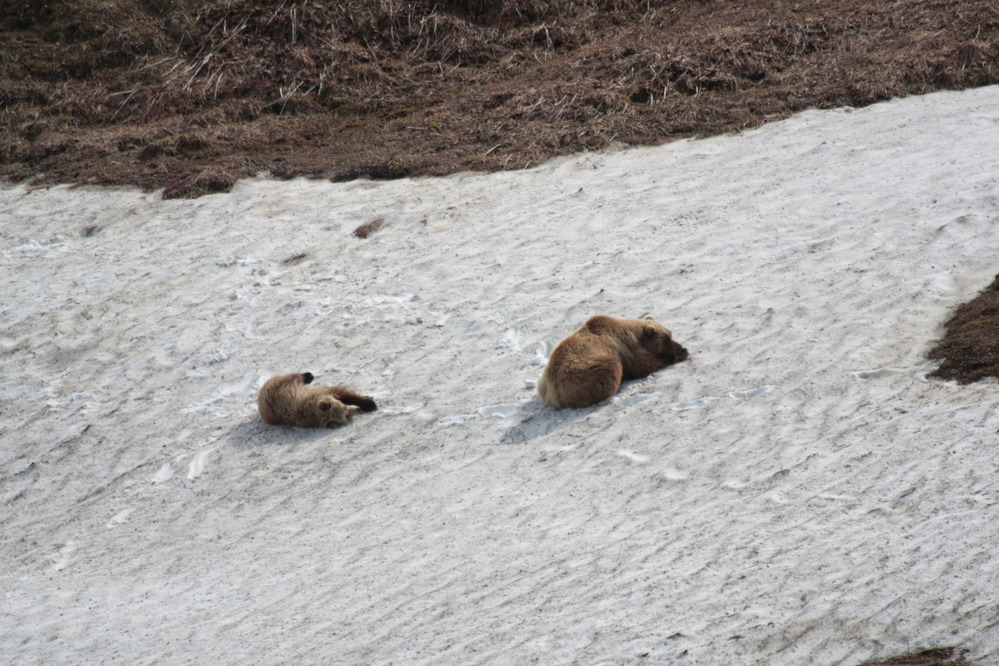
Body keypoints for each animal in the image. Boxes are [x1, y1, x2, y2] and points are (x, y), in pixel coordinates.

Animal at [537, 315, 689, 409]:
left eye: (670, 333)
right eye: (666, 339)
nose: (683, 348)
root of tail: (552, 392)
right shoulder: (625, 349)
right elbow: (643, 365)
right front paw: (674, 357)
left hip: (543, 384)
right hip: (582, 373)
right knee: (610, 367)